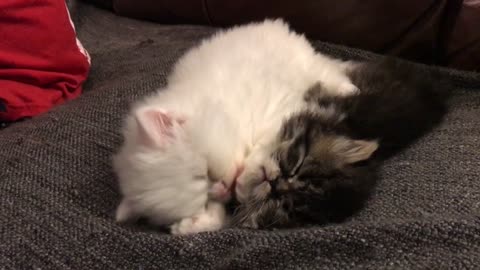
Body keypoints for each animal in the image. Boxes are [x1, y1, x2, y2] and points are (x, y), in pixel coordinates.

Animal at [114, 19, 358, 234]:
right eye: (204, 200)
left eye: (206, 172)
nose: (223, 188)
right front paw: (190, 225)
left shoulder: (275, 111)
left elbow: (262, 151)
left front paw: (244, 184)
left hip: (305, 62)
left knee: (328, 71)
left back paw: (349, 89)